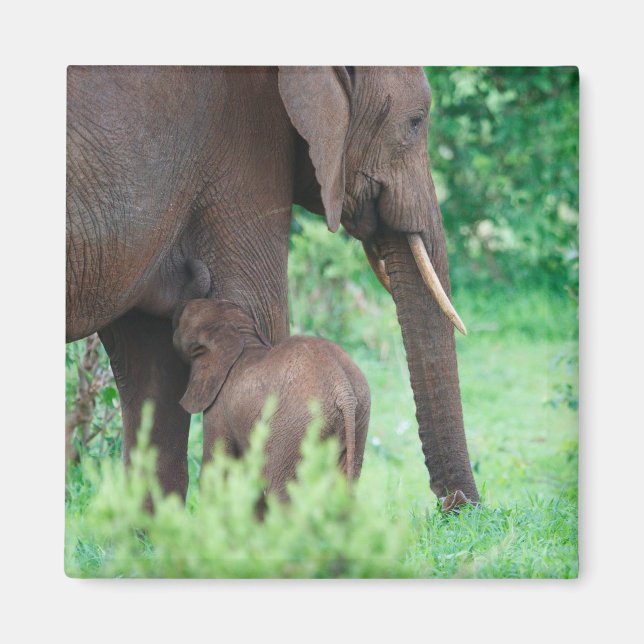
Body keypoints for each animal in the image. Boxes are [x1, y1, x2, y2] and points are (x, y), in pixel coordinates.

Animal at [173, 299, 370, 503]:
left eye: (180, 323)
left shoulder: (218, 407)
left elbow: (217, 468)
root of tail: (342, 387)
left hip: (294, 424)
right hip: (360, 415)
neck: (241, 334)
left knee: (279, 488)